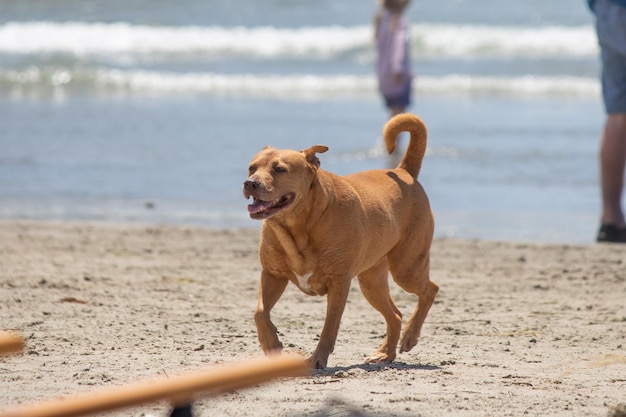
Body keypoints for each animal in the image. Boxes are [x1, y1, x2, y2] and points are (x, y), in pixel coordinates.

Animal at [241, 113, 436, 368]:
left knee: (430, 290)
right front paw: (271, 344)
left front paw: (316, 360)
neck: (298, 226)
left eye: (280, 169)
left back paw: (410, 336)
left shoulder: (339, 282)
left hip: (406, 269)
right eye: (251, 167)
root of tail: (405, 173)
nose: (250, 183)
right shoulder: (272, 275)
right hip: (371, 281)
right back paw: (385, 353)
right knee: (395, 314)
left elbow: (329, 326)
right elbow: (260, 312)